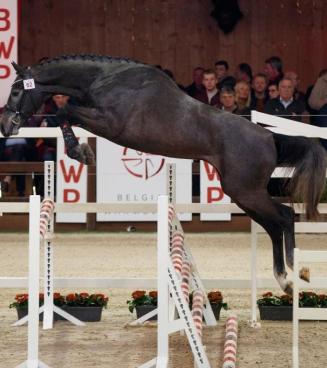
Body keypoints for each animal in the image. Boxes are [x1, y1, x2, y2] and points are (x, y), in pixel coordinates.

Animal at [0, 55, 326, 296]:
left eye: (16, 91)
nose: (6, 126)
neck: (104, 79)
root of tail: (270, 137)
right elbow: (66, 113)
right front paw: (80, 151)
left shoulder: (110, 122)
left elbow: (65, 111)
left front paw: (81, 153)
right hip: (243, 194)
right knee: (274, 225)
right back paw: (285, 279)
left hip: (247, 192)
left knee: (284, 216)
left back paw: (296, 273)